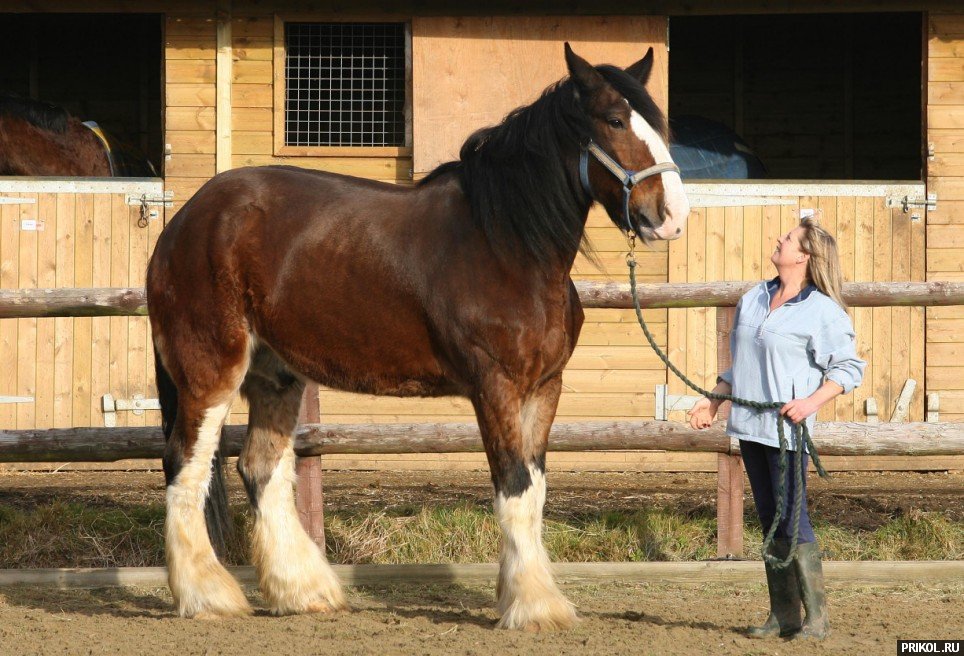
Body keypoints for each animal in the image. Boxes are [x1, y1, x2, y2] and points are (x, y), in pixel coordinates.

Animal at [146, 43, 689, 631]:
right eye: (614, 120)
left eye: (657, 123)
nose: (671, 216)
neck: (507, 244)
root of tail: (184, 222)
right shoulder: (495, 386)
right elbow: (514, 488)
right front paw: (534, 606)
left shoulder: (544, 388)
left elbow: (534, 492)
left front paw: (524, 595)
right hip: (210, 371)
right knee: (185, 467)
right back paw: (207, 596)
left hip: (276, 377)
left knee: (260, 469)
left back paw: (303, 591)